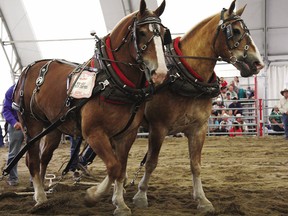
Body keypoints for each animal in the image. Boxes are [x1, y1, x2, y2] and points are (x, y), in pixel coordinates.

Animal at [13, 0, 170, 215]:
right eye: (142, 33)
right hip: (31, 124)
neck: (110, 80)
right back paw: (41, 198)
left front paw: (120, 203)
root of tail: (27, 70)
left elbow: (121, 169)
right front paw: (93, 195)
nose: (160, 73)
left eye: (163, 34)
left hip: (53, 128)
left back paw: (43, 191)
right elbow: (113, 167)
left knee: (44, 157)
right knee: (32, 160)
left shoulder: (127, 135)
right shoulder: (94, 133)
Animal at [133, 0, 264, 213]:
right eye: (236, 31)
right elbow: (151, 162)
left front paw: (202, 199)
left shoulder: (198, 129)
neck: (184, 76)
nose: (258, 64)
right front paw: (141, 195)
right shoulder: (158, 128)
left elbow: (196, 164)